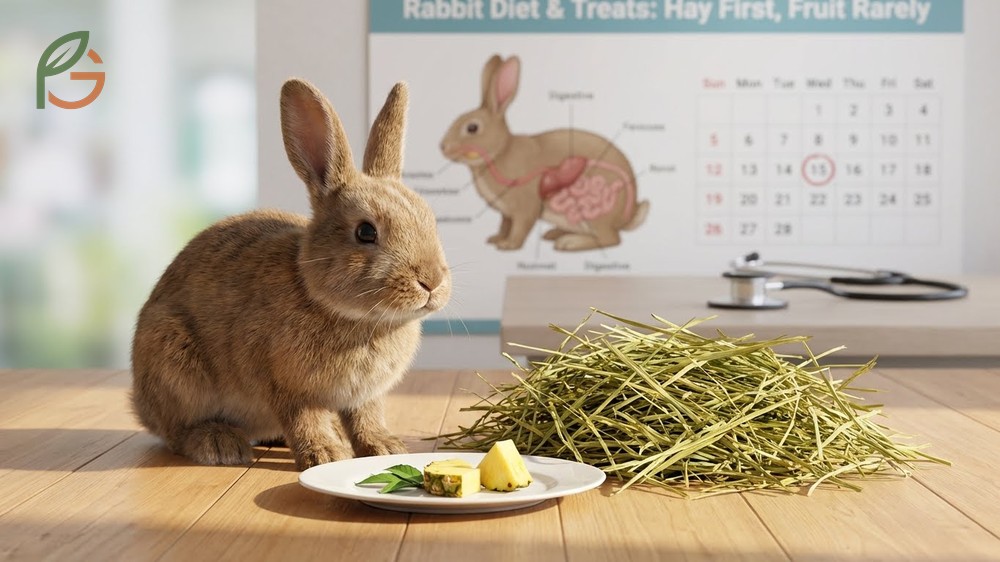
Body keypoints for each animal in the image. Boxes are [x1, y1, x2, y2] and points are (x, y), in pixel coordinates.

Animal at [130, 78, 451, 471]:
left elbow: (367, 419)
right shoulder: (288, 387)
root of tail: (140, 404)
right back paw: (220, 444)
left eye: (430, 219)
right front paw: (325, 455)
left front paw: (386, 447)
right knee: (176, 431)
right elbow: (304, 419)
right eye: (365, 232)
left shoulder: (364, 397)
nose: (432, 282)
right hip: (174, 362)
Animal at [440, 54, 649, 252]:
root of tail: (628, 214)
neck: (500, 153)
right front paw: (496, 239)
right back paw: (554, 234)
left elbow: (519, 228)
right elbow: (505, 225)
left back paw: (570, 242)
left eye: (472, 128)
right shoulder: (506, 214)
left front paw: (508, 245)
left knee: (609, 238)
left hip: (593, 211)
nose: (443, 146)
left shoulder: (525, 206)